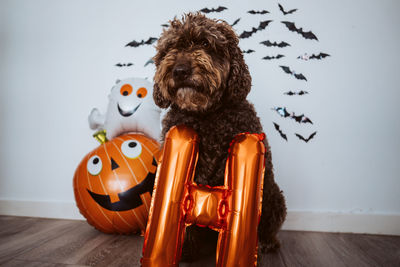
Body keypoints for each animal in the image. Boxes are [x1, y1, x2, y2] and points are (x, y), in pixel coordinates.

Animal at [152, 13, 286, 264]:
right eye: (170, 48)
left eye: (205, 43)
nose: (180, 70)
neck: (206, 114)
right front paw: (185, 250)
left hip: (274, 196)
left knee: (268, 226)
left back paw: (266, 242)